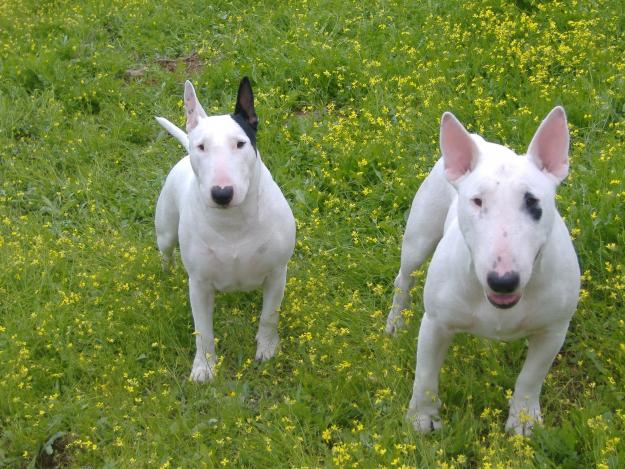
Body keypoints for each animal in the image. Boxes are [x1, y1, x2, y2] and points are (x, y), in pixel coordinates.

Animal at [154, 77, 294, 380]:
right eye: (201, 147)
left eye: (240, 143)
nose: (222, 193)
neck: (233, 223)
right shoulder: (199, 284)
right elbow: (203, 331)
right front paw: (204, 367)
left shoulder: (277, 273)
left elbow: (269, 316)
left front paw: (267, 349)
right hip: (165, 232)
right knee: (166, 253)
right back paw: (167, 274)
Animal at [386, 107, 580, 436]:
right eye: (476, 201)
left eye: (533, 201)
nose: (503, 281)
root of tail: (481, 139)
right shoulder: (435, 323)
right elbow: (425, 376)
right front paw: (422, 419)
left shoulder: (554, 330)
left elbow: (531, 377)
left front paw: (523, 421)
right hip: (419, 237)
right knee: (404, 277)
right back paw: (395, 322)